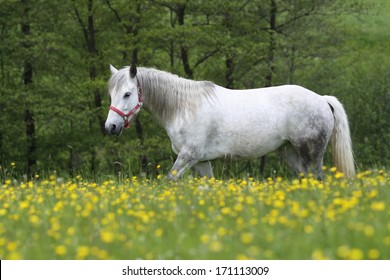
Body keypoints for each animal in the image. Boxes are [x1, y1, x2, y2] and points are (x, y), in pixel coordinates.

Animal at [105, 64, 354, 179]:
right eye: (111, 94)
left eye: (127, 94)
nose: (111, 127)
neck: (184, 108)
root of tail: (322, 99)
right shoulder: (201, 161)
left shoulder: (188, 156)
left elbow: (170, 179)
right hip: (289, 152)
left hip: (312, 153)